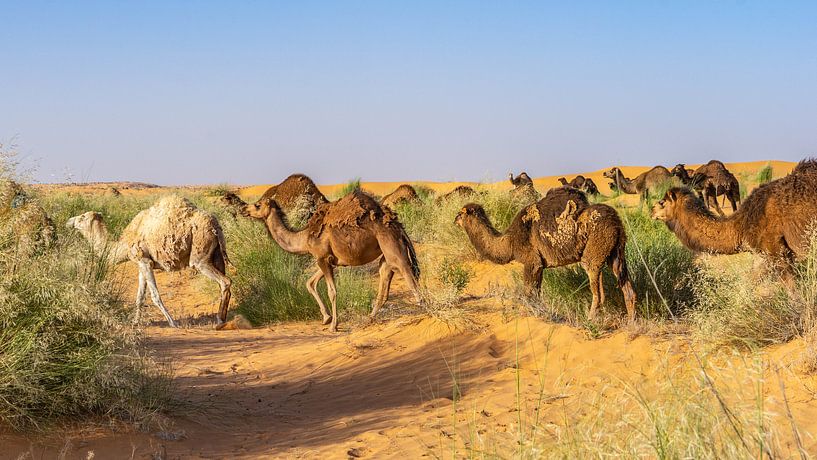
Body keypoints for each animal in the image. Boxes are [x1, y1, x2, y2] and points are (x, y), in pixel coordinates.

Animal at [67, 196, 232, 328]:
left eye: (82, 217)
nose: (69, 221)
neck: (124, 244)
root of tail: (216, 226)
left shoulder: (144, 261)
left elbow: (155, 295)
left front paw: (173, 323)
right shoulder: (142, 264)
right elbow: (139, 296)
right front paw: (135, 322)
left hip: (200, 257)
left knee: (225, 281)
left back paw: (219, 321)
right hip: (217, 254)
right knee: (224, 282)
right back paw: (223, 319)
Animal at [243, 189, 422, 332]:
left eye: (257, 205)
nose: (244, 209)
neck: (304, 238)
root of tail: (398, 226)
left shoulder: (322, 258)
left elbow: (332, 291)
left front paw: (333, 325)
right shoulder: (328, 261)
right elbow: (310, 283)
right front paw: (326, 318)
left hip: (392, 247)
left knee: (409, 277)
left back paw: (424, 309)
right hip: (386, 255)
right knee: (385, 278)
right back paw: (369, 318)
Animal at [456, 187, 637, 320]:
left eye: (461, 213)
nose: (454, 219)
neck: (509, 241)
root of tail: (616, 222)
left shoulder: (531, 262)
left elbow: (529, 293)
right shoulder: (540, 266)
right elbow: (536, 292)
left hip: (594, 253)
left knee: (598, 293)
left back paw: (590, 321)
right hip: (616, 253)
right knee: (628, 289)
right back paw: (631, 324)